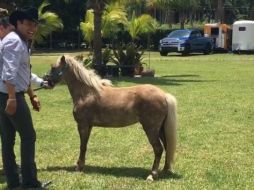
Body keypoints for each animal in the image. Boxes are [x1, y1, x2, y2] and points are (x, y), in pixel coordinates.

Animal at [46, 55, 177, 181]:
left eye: (53, 67)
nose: (47, 81)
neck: (87, 93)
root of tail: (164, 95)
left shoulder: (82, 125)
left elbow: (82, 146)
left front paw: (79, 167)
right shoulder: (89, 126)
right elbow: (85, 145)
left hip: (151, 129)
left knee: (158, 149)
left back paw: (152, 175)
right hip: (160, 129)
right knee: (167, 147)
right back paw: (165, 170)